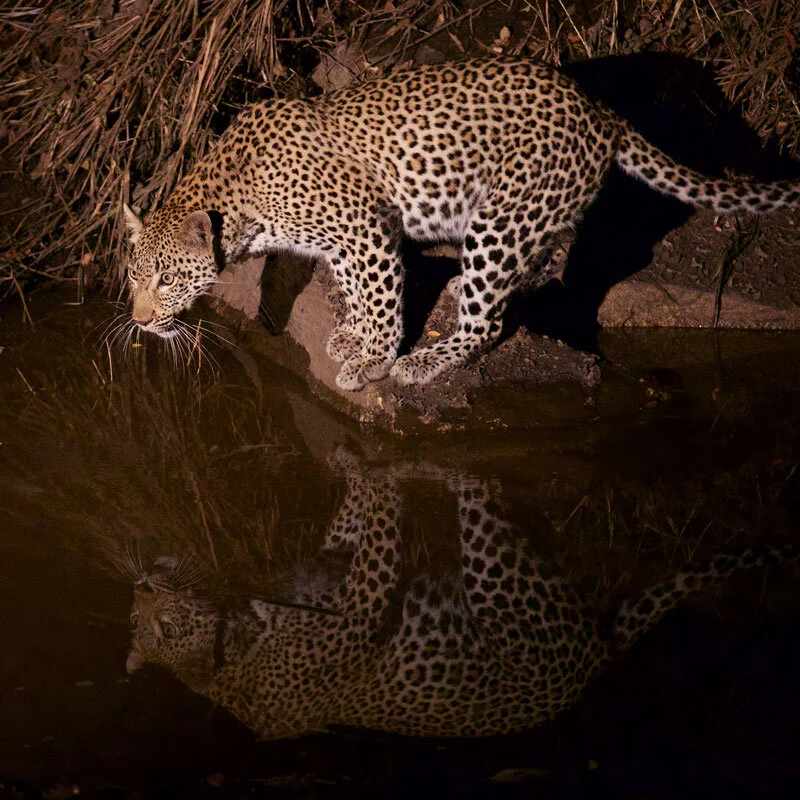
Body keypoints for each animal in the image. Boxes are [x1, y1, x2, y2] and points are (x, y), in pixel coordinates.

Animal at [122, 57, 800, 390]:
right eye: (134, 276)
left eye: (165, 279)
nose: (140, 321)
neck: (239, 202)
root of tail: (600, 111)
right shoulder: (347, 241)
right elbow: (355, 288)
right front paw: (350, 334)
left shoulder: (365, 227)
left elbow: (382, 297)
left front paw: (373, 358)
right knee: (546, 262)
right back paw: (457, 288)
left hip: (502, 218)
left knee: (491, 318)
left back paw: (426, 361)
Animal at [125, 456, 794, 740]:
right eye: (155, 627)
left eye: (138, 618)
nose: (140, 582)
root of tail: (594, 661)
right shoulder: (361, 608)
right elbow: (379, 531)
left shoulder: (325, 577)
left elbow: (350, 521)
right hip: (498, 576)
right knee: (479, 498)